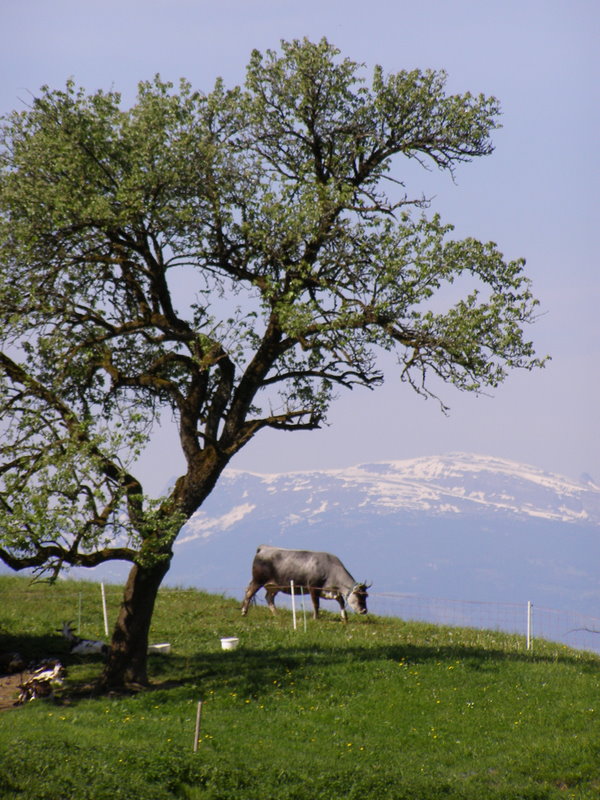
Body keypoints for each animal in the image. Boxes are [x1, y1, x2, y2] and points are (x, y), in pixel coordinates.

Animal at [241, 545, 370, 622]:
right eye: (359, 595)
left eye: (366, 596)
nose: (364, 610)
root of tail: (264, 548)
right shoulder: (313, 587)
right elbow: (316, 604)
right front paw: (316, 618)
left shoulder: (330, 591)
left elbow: (341, 601)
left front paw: (344, 617)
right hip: (258, 580)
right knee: (249, 593)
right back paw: (244, 612)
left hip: (274, 586)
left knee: (269, 598)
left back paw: (277, 614)